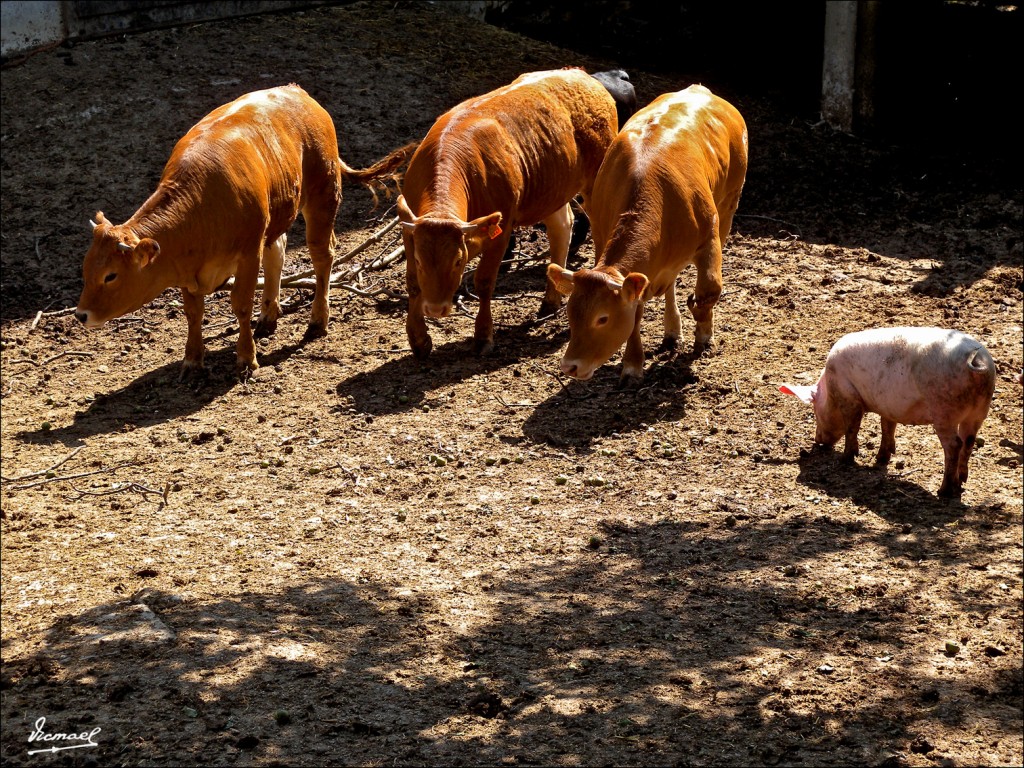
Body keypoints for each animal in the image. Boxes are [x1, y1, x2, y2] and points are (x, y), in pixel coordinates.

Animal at [73, 83, 415, 378]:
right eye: (86, 269)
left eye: (111, 276)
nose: (80, 315)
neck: (202, 206)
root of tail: (298, 93)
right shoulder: (186, 268)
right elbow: (193, 313)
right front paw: (192, 361)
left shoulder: (248, 253)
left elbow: (240, 306)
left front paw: (246, 359)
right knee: (278, 251)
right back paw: (269, 315)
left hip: (323, 196)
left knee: (322, 256)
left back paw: (318, 320)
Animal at [393, 67, 614, 360]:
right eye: (419, 261)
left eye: (458, 261)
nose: (436, 309)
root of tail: (581, 75)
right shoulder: (410, 231)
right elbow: (412, 282)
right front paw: (418, 339)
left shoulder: (502, 228)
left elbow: (485, 282)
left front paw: (483, 336)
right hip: (553, 191)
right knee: (562, 229)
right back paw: (550, 300)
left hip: (594, 183)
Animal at [548, 85, 749, 385]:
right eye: (571, 314)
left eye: (602, 318)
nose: (569, 366)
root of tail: (699, 89)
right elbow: (636, 312)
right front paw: (632, 363)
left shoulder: (709, 240)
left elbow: (709, 291)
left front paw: (703, 334)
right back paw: (672, 330)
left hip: (729, 205)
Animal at [782, 325, 991, 499]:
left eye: (816, 411)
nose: (817, 440)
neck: (830, 389)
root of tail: (975, 360)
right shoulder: (889, 407)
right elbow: (887, 427)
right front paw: (881, 458)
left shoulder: (849, 396)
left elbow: (852, 428)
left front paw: (846, 459)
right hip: (979, 412)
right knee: (968, 441)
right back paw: (961, 482)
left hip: (944, 411)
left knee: (954, 445)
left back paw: (944, 491)